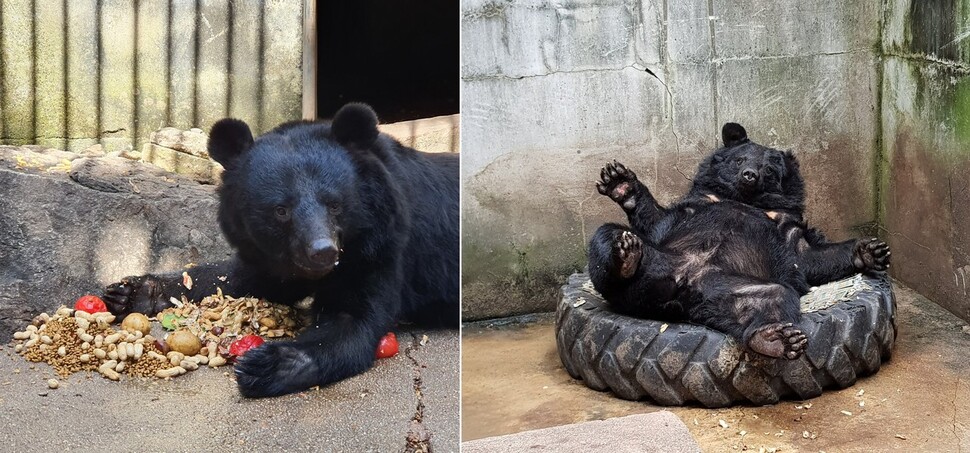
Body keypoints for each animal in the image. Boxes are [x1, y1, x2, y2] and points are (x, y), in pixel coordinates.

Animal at [102, 102, 458, 396]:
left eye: (335, 204)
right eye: (281, 210)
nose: (323, 252)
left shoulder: (381, 246)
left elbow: (353, 318)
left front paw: (264, 365)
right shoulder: (272, 253)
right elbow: (237, 279)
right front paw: (128, 292)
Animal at [588, 122, 888, 360]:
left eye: (768, 170)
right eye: (740, 160)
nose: (749, 175)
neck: (746, 199)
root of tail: (682, 292)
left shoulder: (785, 223)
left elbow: (806, 257)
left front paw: (872, 250)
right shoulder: (698, 202)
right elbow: (656, 220)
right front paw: (619, 179)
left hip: (731, 287)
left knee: (774, 298)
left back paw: (776, 339)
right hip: (658, 259)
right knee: (607, 235)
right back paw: (626, 255)